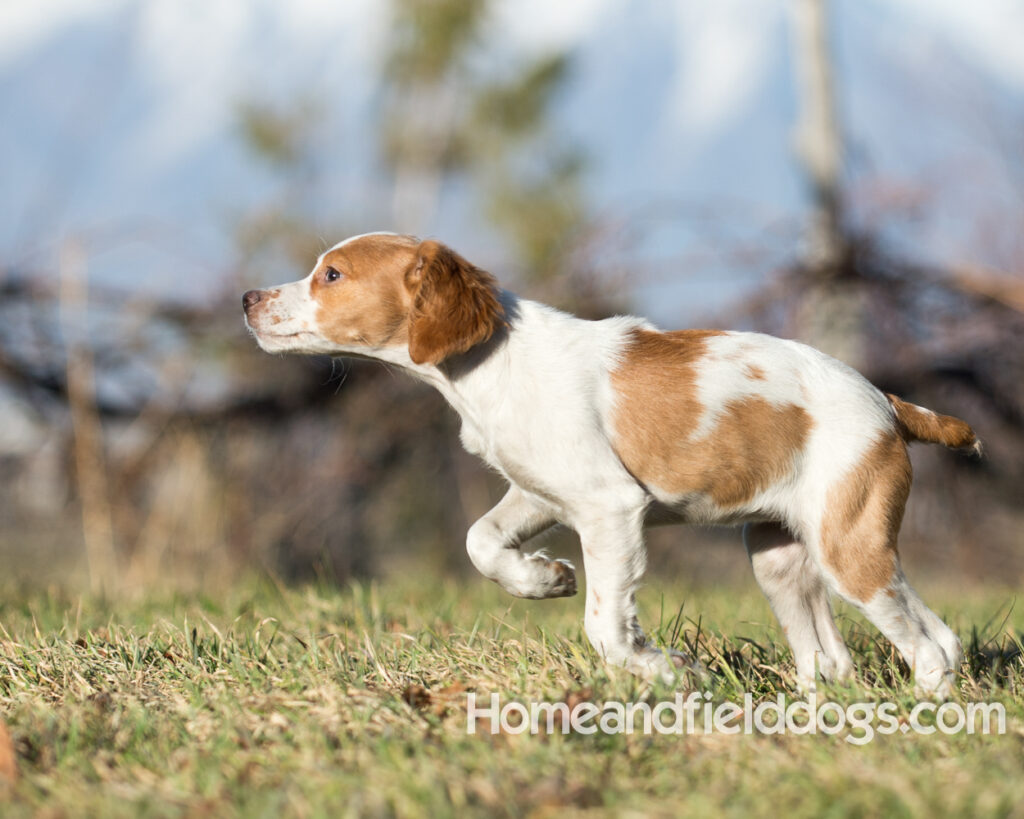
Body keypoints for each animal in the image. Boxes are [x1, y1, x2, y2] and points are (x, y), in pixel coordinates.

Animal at [243, 232, 978, 696]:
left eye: (332, 274)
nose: (247, 299)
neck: (487, 365)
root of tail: (886, 401)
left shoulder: (608, 505)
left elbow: (603, 622)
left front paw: (667, 670)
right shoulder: (540, 493)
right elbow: (480, 539)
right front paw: (544, 579)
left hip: (848, 544)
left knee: (930, 643)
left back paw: (926, 710)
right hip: (784, 556)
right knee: (845, 653)